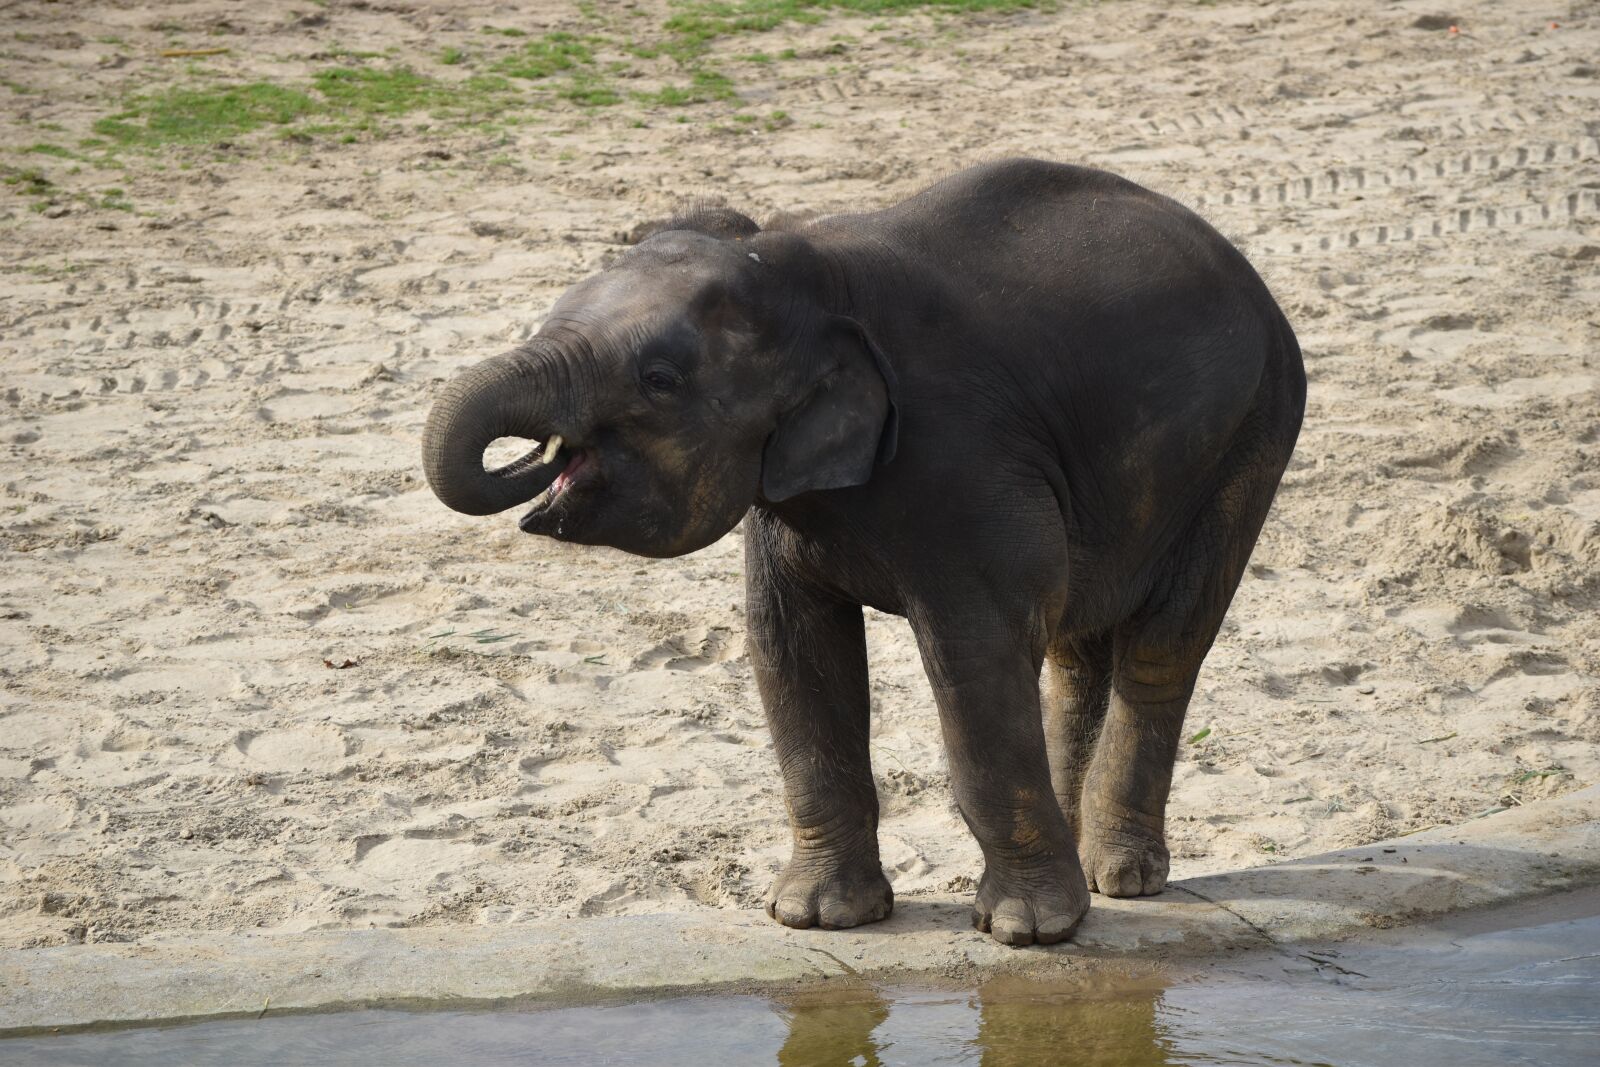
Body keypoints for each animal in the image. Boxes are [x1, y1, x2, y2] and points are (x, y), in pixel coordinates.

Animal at [421, 158, 1306, 947]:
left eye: (660, 378)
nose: (541, 460)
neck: (807, 263)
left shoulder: (967, 462)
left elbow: (975, 659)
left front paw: (1028, 932)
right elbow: (791, 649)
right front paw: (818, 917)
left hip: (1252, 438)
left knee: (1163, 643)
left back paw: (1120, 878)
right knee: (1076, 648)